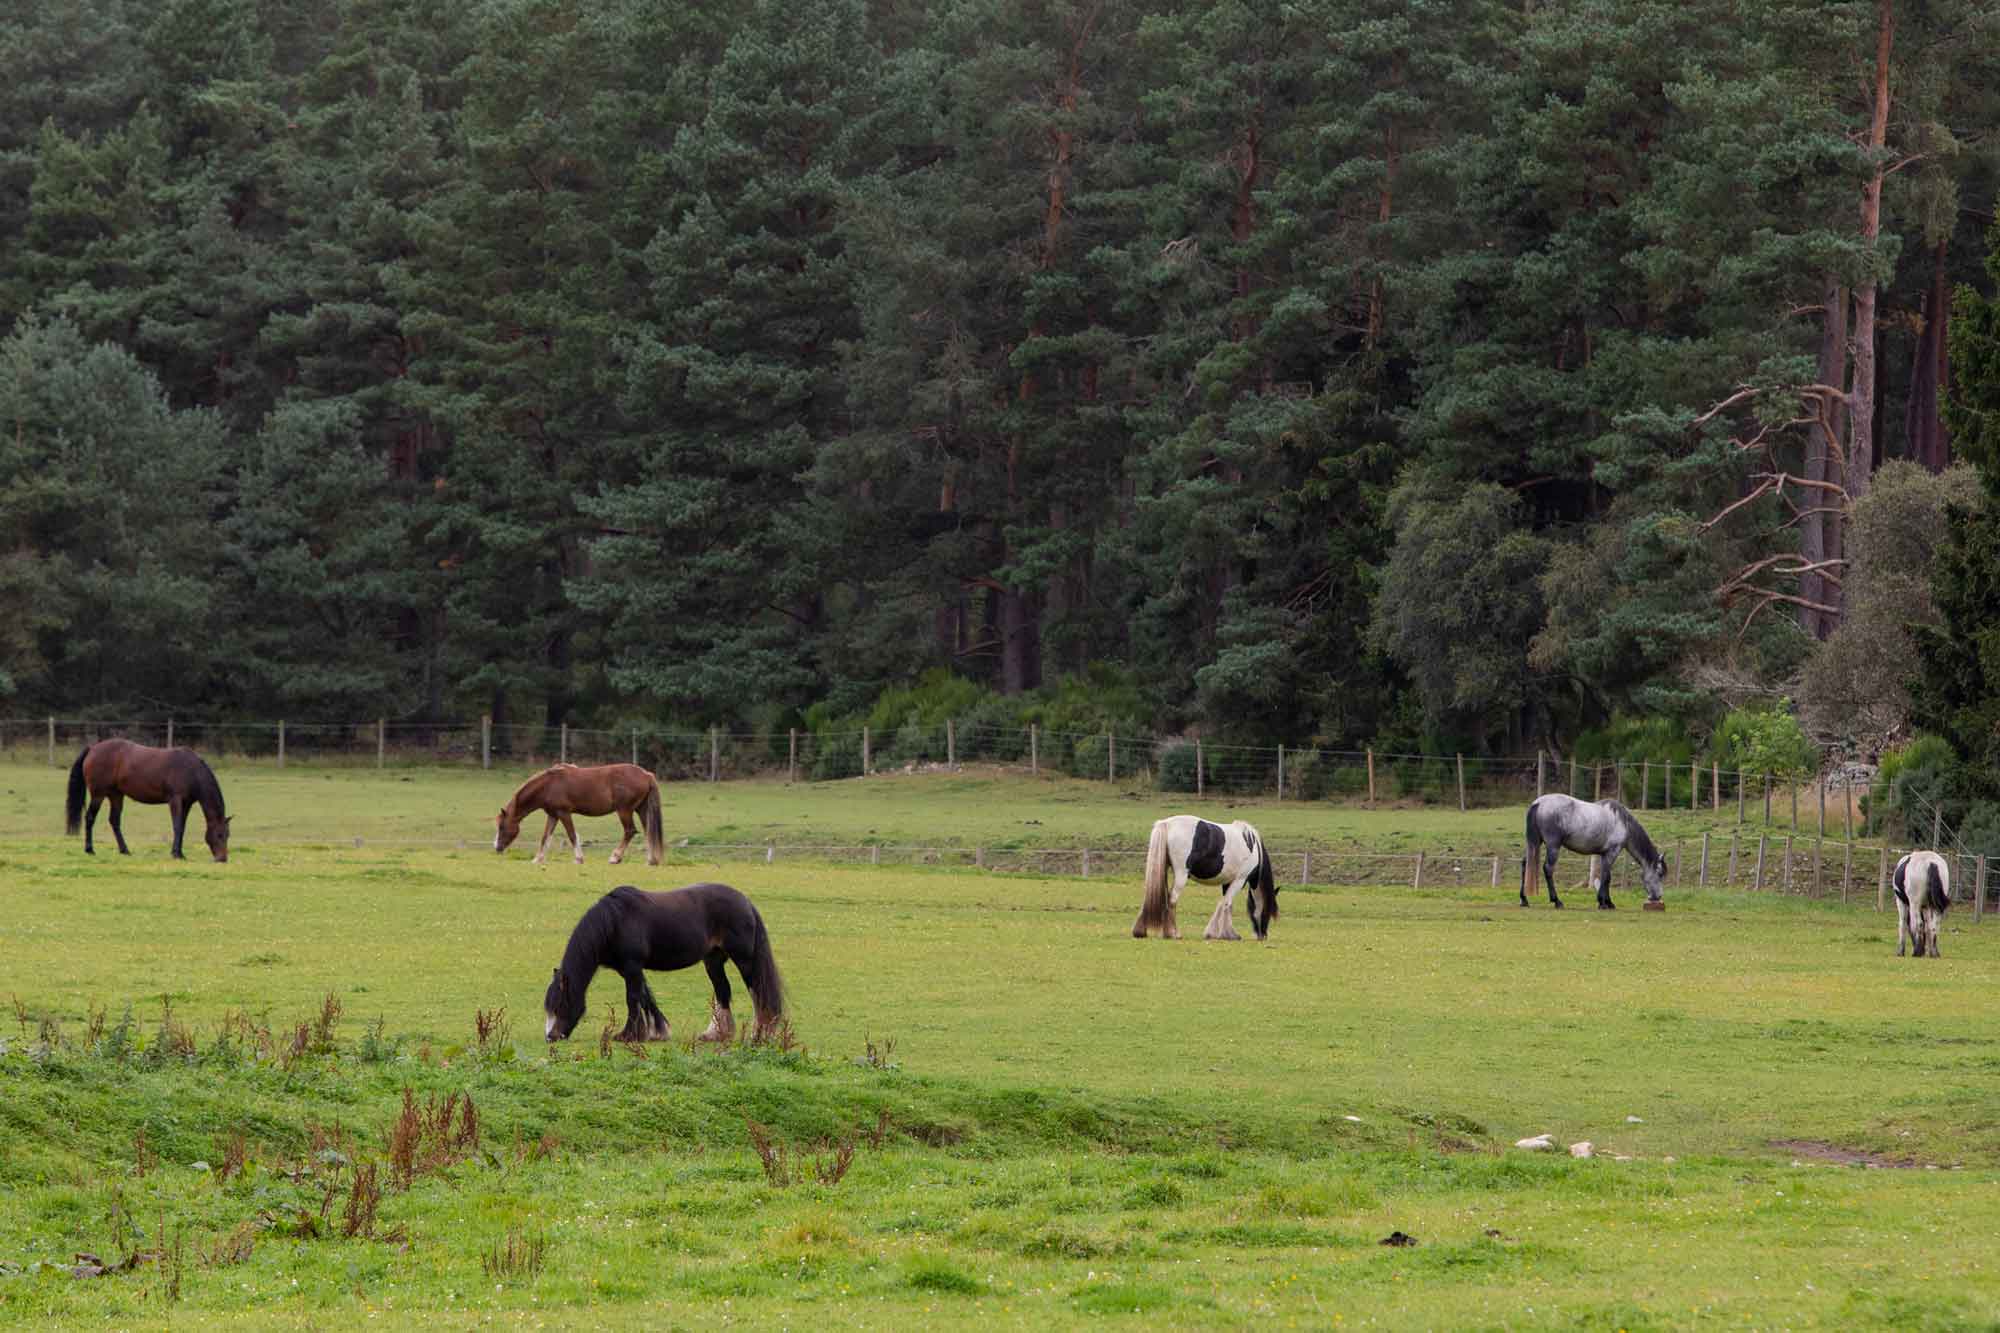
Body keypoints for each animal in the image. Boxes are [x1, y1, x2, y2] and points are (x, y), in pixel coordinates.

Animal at [65, 736, 230, 860]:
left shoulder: (187, 803)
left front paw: (180, 853)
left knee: (114, 821)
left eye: (228, 835)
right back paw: (90, 849)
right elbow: (177, 825)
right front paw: (176, 854)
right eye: (219, 834)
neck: (191, 770)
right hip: (98, 794)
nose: (222, 859)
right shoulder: (175, 800)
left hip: (116, 795)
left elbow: (182, 826)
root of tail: (92, 748)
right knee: (90, 818)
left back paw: (125, 850)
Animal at [496, 764, 668, 868]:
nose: (497, 848)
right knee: (648, 832)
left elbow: (572, 835)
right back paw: (651, 860)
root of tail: (646, 775)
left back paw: (615, 857)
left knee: (630, 831)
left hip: (624, 811)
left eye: (501, 826)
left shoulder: (564, 813)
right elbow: (545, 837)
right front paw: (538, 859)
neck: (549, 785)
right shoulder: (553, 815)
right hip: (641, 810)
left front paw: (578, 859)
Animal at [544, 880, 784, 1040]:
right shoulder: (628, 969)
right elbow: (645, 996)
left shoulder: (632, 967)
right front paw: (658, 1031)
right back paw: (716, 1034)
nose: (551, 1037)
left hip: (744, 960)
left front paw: (628, 1035)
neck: (614, 921)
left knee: (758, 992)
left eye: (560, 1004)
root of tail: (746, 902)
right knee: (723, 991)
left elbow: (632, 999)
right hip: (713, 961)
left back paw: (759, 1034)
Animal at [1128, 816, 1280, 940]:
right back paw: (1173, 933)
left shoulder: (1227, 882)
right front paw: (1229, 934)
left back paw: (1140, 931)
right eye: (1268, 911)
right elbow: (1227, 903)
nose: (1263, 936)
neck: (1252, 846)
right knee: (1172, 900)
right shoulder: (1239, 880)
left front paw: (1214, 933)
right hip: (1181, 875)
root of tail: (1166, 823)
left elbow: (1223, 903)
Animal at [1520, 792, 1664, 908]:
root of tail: (1538, 803)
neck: (1623, 822)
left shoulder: (1604, 854)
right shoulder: (1612, 852)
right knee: (1548, 869)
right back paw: (1557, 901)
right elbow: (1606, 876)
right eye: (1660, 874)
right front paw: (1604, 903)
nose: (1658, 897)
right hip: (1553, 846)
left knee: (1525, 865)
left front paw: (1606, 902)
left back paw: (1524, 900)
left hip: (1534, 843)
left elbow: (1606, 876)